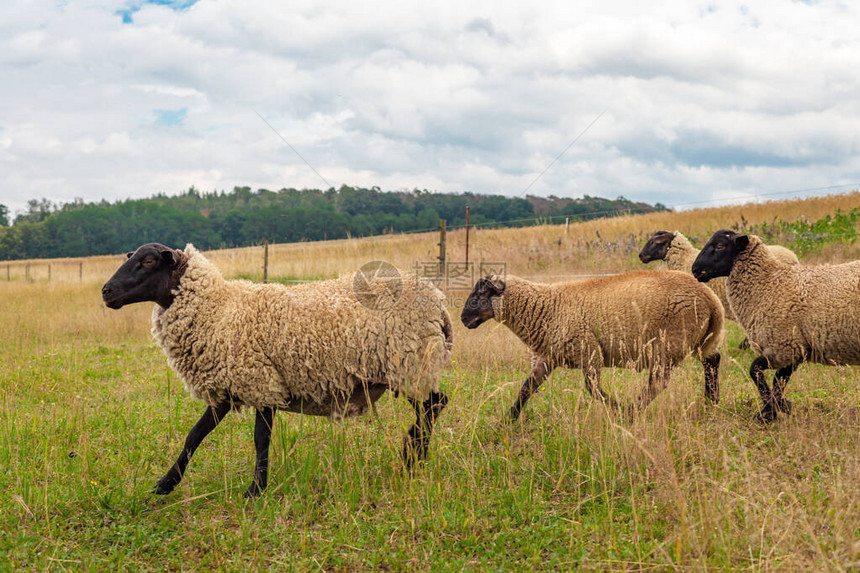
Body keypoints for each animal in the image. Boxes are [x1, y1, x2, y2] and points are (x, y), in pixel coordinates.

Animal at [101, 241, 454, 496]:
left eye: (148, 262)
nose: (106, 291)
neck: (219, 309)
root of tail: (438, 300)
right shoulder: (227, 389)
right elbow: (195, 435)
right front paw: (165, 484)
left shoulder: (261, 383)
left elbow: (260, 439)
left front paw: (255, 490)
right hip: (410, 367)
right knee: (433, 406)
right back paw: (414, 457)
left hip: (411, 363)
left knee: (433, 406)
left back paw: (412, 456)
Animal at [460, 268, 724, 420]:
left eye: (482, 294)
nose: (463, 319)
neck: (548, 307)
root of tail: (711, 299)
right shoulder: (549, 357)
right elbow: (527, 388)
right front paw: (508, 420)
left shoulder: (589, 352)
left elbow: (592, 389)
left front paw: (617, 409)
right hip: (700, 340)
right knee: (712, 361)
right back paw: (711, 402)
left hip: (669, 343)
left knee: (657, 383)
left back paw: (632, 412)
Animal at [688, 230, 860, 422]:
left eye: (720, 246)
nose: (695, 270)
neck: (768, 283)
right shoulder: (796, 350)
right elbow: (779, 382)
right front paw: (774, 410)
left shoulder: (784, 347)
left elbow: (755, 370)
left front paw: (774, 409)